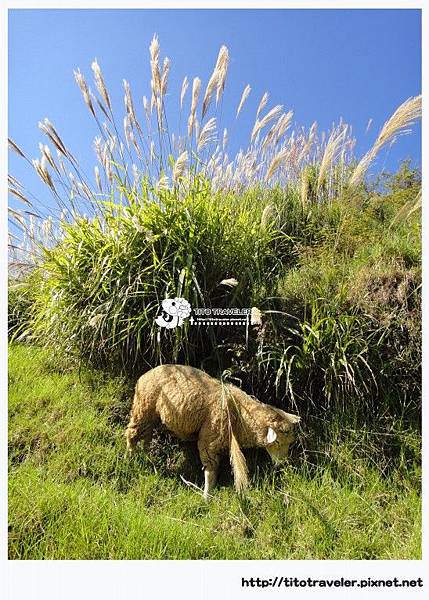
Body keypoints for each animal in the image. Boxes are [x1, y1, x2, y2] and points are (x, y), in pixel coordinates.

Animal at [123, 364, 300, 500]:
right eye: (277, 442)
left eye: (290, 443)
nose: (282, 463)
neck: (239, 412)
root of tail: (144, 375)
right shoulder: (208, 442)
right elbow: (211, 471)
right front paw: (207, 496)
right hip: (142, 409)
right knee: (131, 434)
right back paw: (129, 458)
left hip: (151, 416)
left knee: (146, 435)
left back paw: (145, 454)